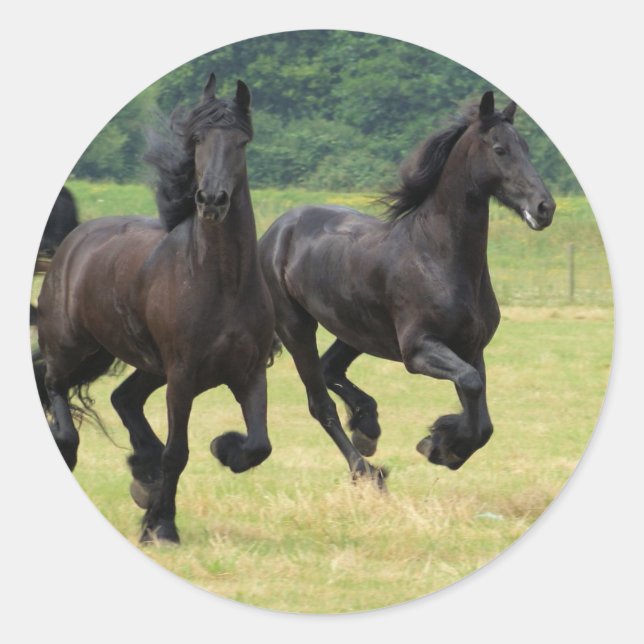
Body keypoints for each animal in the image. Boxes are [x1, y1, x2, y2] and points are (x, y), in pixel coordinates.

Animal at [36, 74, 275, 543]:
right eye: (197, 139)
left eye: (241, 142)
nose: (212, 200)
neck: (222, 283)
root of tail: (75, 239)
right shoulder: (181, 378)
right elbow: (177, 453)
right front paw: (163, 527)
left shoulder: (250, 372)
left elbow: (259, 446)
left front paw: (224, 448)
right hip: (73, 346)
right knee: (54, 383)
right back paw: (69, 447)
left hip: (144, 363)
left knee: (122, 398)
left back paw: (142, 476)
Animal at [258, 91, 555, 484]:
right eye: (500, 149)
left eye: (526, 147)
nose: (544, 207)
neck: (437, 257)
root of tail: (275, 232)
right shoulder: (419, 350)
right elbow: (472, 386)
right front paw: (439, 443)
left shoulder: (471, 348)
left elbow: (482, 418)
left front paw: (442, 445)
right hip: (298, 329)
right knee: (320, 403)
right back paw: (366, 470)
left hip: (355, 330)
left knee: (329, 368)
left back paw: (367, 426)